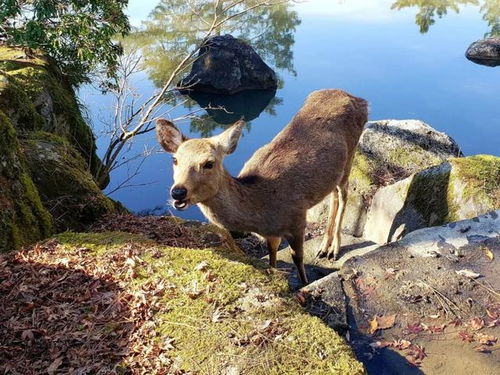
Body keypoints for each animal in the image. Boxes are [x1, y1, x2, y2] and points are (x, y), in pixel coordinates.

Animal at [156, 90, 368, 284]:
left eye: (209, 163)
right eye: (175, 160)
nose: (178, 192)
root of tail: (359, 100)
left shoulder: (298, 218)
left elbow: (297, 259)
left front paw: (304, 284)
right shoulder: (271, 233)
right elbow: (272, 255)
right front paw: (275, 274)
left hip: (351, 154)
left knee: (344, 194)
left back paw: (334, 250)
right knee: (333, 194)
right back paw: (324, 247)